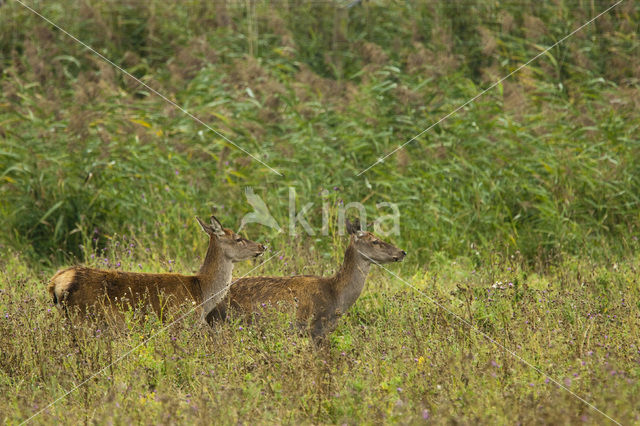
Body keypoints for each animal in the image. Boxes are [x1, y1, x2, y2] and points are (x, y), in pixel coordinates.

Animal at [48, 215, 264, 322]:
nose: (262, 246)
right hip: (86, 317)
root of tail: (55, 282)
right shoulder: (179, 321)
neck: (201, 293)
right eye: (238, 238)